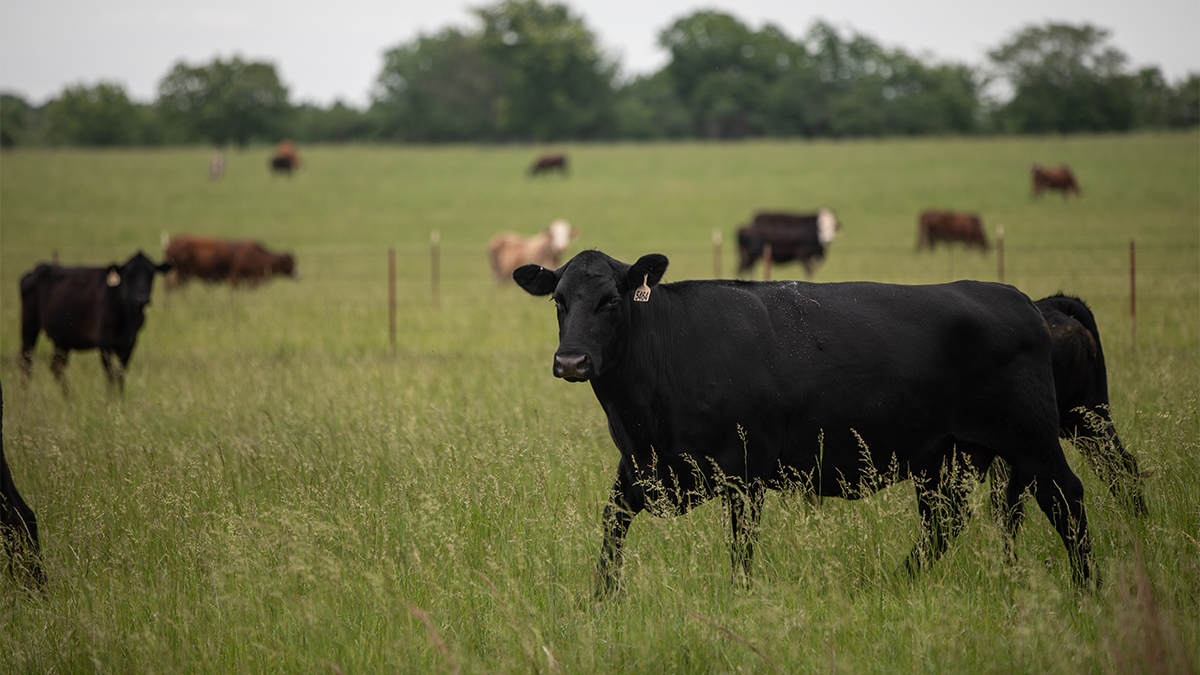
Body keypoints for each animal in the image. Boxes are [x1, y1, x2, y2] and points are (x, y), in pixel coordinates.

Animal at [19, 249, 171, 391]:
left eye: (151, 275)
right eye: (129, 275)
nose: (141, 299)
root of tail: (37, 268)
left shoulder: (130, 343)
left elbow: (121, 374)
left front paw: (121, 399)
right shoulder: (103, 341)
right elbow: (110, 374)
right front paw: (111, 400)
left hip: (62, 340)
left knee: (56, 367)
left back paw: (69, 397)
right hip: (29, 326)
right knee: (26, 361)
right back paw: (26, 396)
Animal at [511, 248, 1094, 593]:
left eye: (611, 300)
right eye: (559, 301)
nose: (571, 361)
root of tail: (1022, 299)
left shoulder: (744, 470)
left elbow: (741, 548)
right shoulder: (638, 469)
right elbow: (611, 531)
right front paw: (603, 601)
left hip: (1032, 440)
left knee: (1066, 499)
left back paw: (1088, 589)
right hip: (947, 456)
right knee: (944, 522)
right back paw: (895, 584)